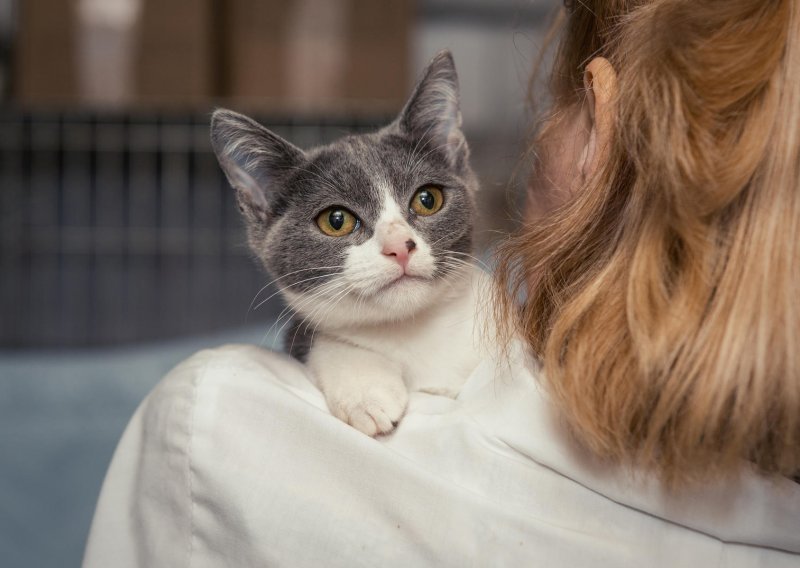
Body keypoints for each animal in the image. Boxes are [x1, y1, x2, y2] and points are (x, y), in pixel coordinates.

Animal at [211, 51, 488, 438]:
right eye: (336, 220)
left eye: (427, 199)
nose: (399, 246)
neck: (410, 333)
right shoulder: (299, 334)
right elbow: (321, 342)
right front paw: (366, 392)